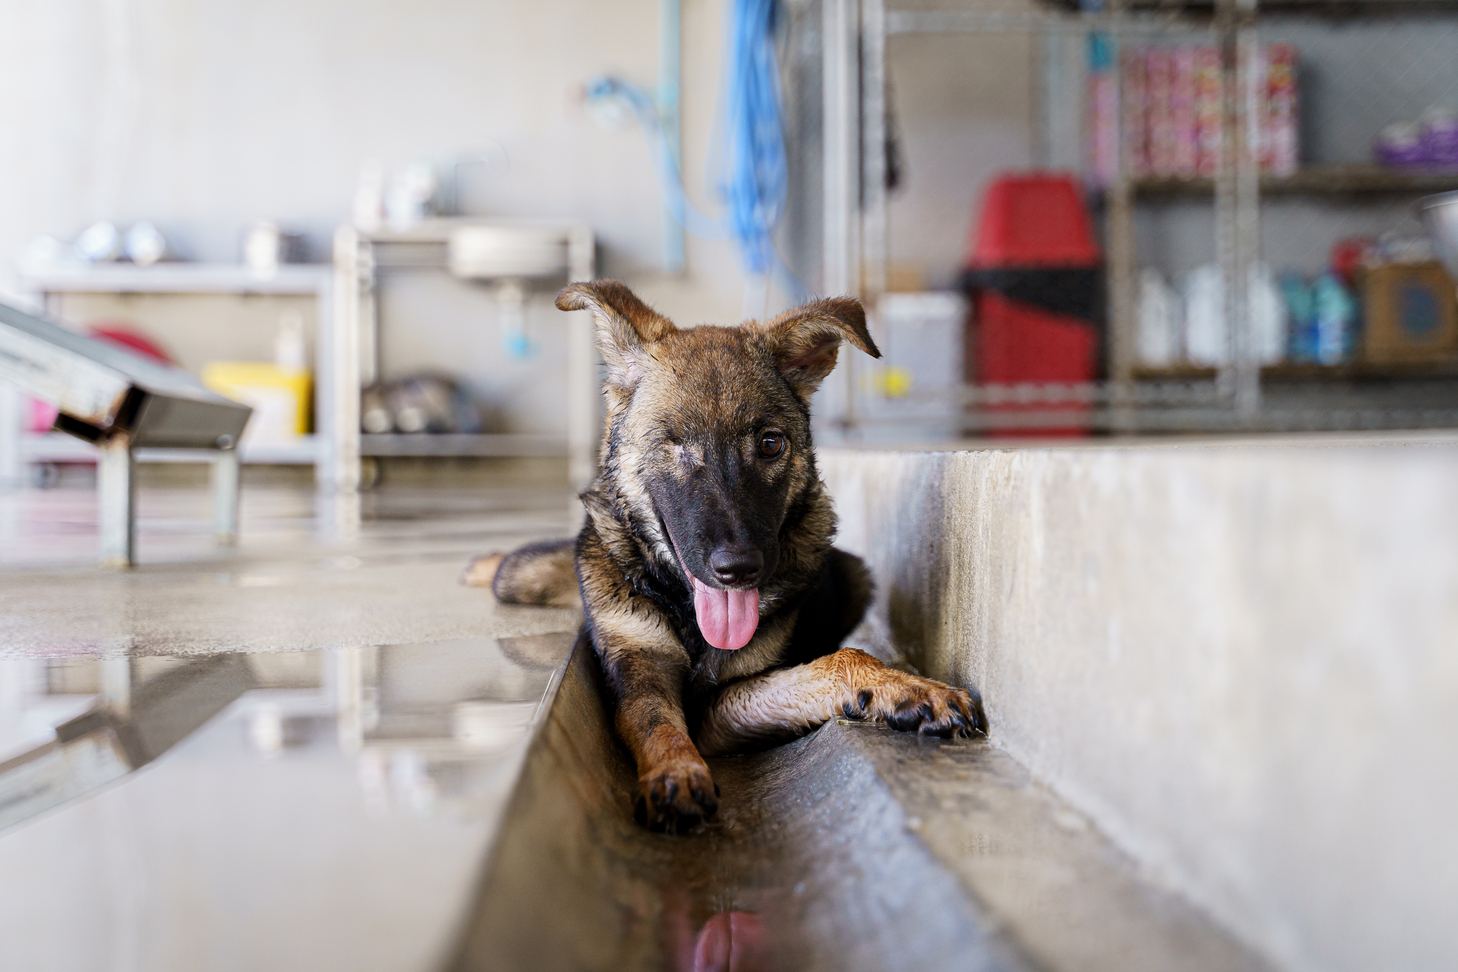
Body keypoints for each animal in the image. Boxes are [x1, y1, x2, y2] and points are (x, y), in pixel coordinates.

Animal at [466, 282, 985, 839]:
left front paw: (905, 687)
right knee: (517, 567)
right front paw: (674, 772)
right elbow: (654, 721)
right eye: (674, 444)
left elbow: (840, 659)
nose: (738, 569)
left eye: (770, 443)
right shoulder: (640, 668)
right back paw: (482, 564)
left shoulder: (721, 709)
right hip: (524, 578)